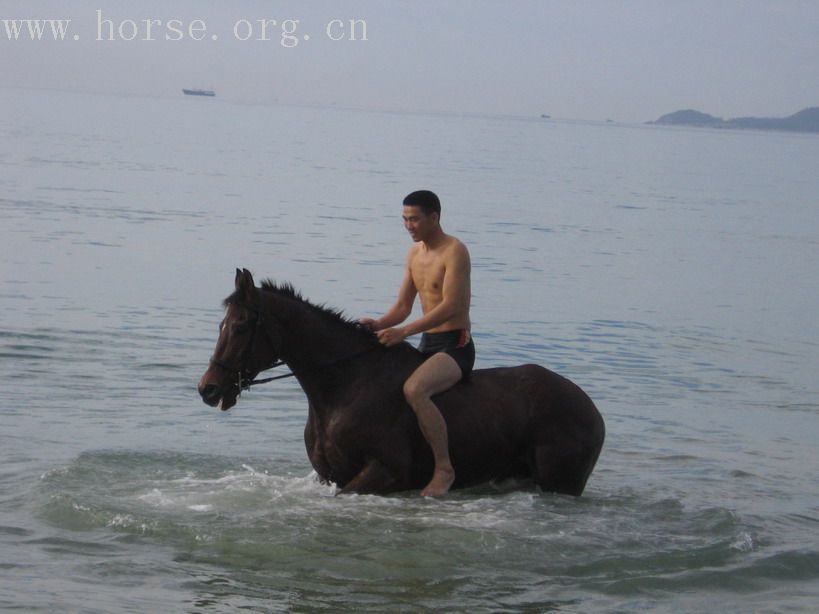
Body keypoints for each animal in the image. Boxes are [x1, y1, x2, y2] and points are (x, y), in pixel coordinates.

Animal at [198, 272, 604, 498]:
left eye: (240, 327)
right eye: (221, 325)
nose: (208, 389)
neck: (345, 386)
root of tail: (591, 408)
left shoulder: (385, 473)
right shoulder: (331, 476)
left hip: (561, 481)